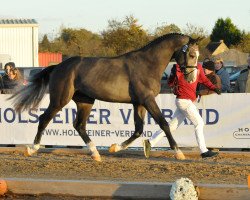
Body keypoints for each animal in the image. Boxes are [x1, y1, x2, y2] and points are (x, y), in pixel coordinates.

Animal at [9, 32, 201, 161]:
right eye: (191, 54)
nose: (191, 78)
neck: (147, 64)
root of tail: (58, 66)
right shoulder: (147, 100)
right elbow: (163, 123)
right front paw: (179, 152)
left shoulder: (138, 103)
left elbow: (138, 129)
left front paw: (115, 147)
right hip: (60, 99)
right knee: (44, 119)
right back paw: (32, 149)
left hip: (85, 101)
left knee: (79, 125)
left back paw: (95, 153)